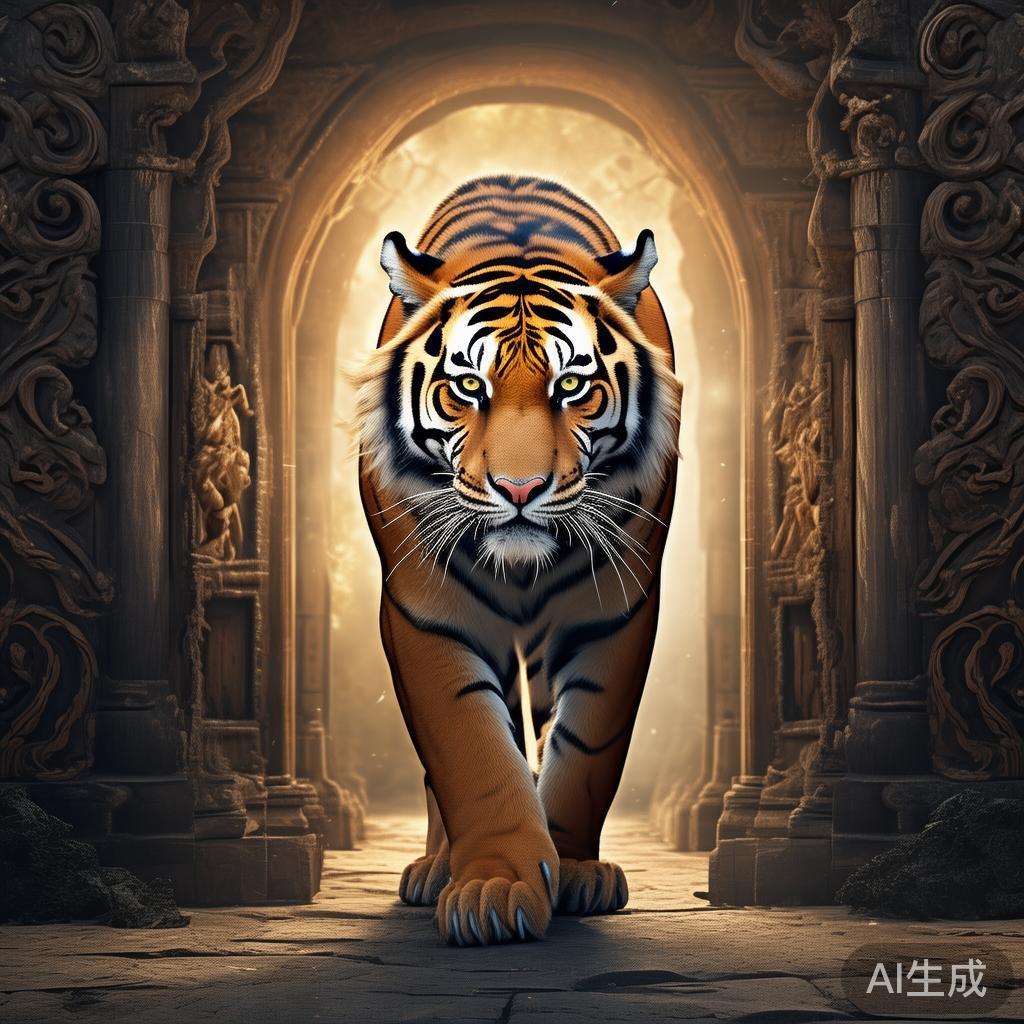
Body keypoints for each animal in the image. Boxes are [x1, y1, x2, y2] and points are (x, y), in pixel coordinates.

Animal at [355, 174, 681, 945]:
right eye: (469, 387)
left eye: (572, 386)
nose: (521, 489)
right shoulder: (426, 613)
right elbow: (471, 748)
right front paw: (493, 890)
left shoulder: (616, 611)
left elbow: (587, 750)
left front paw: (572, 871)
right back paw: (435, 868)